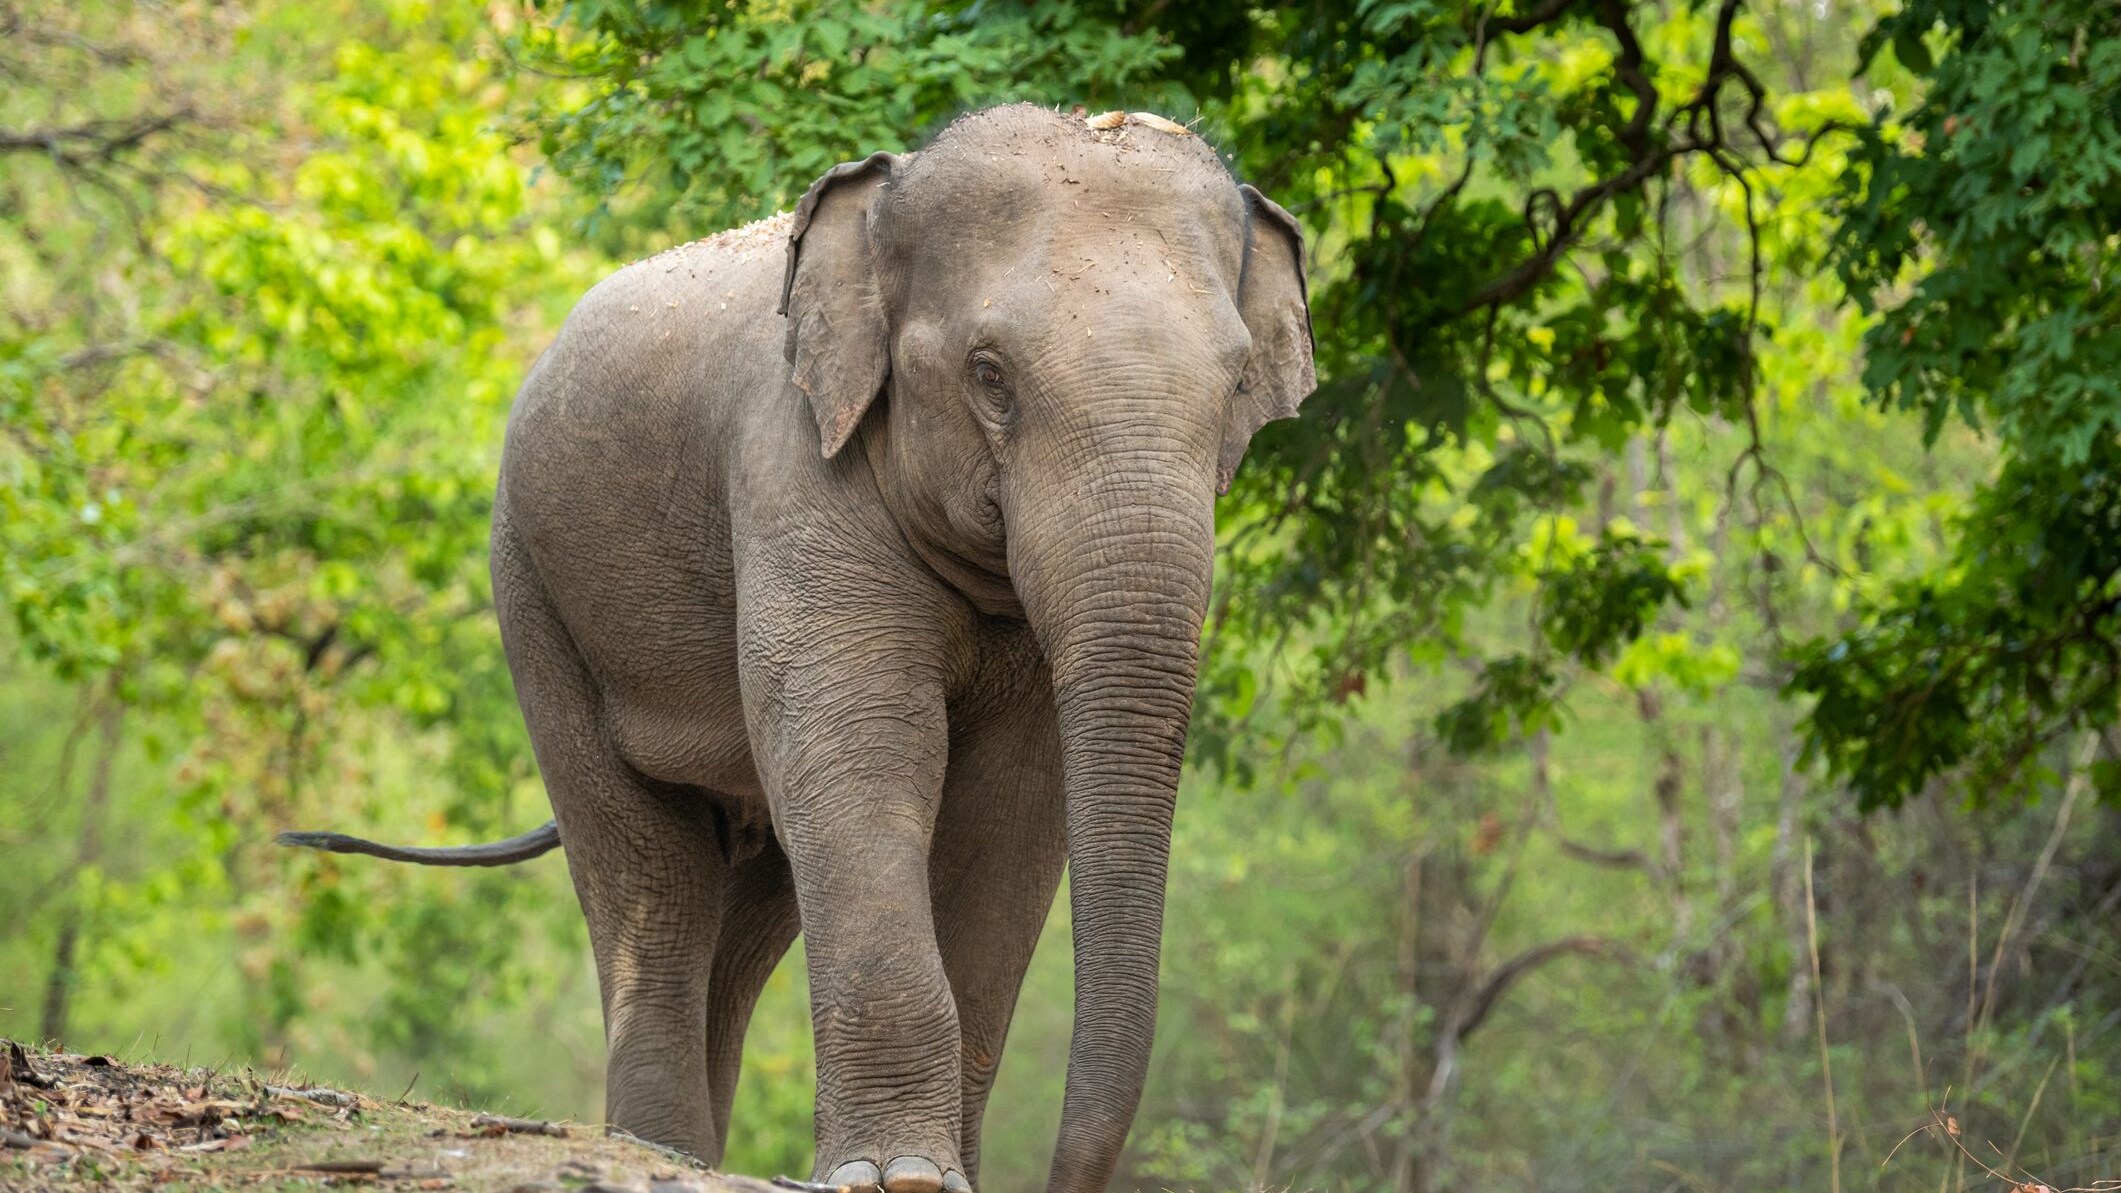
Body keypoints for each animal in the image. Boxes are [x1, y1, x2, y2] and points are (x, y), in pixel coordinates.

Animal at [280, 103, 1315, 1193]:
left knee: (747, 909)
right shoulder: (790, 470)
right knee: (650, 873)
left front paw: (936, 1174)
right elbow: (862, 742)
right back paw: (657, 1149)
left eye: (1237, 383)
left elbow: (1011, 804)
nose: (1049, 1178)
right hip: (533, 594)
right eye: (990, 376)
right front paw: (898, 1176)